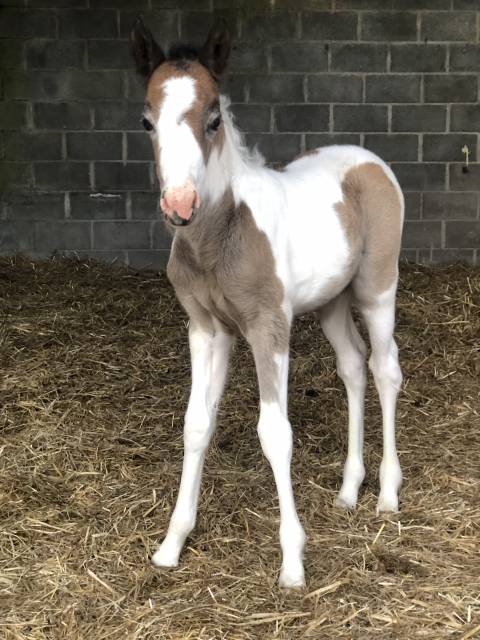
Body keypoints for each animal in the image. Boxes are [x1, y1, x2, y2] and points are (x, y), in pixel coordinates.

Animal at [130, 19, 404, 588]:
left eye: (213, 119)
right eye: (146, 121)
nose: (180, 205)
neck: (217, 236)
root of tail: (369, 160)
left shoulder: (267, 325)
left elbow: (275, 432)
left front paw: (293, 562)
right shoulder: (207, 328)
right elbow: (196, 424)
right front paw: (171, 544)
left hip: (376, 289)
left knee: (385, 368)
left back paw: (388, 494)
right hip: (330, 302)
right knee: (353, 367)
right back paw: (349, 489)